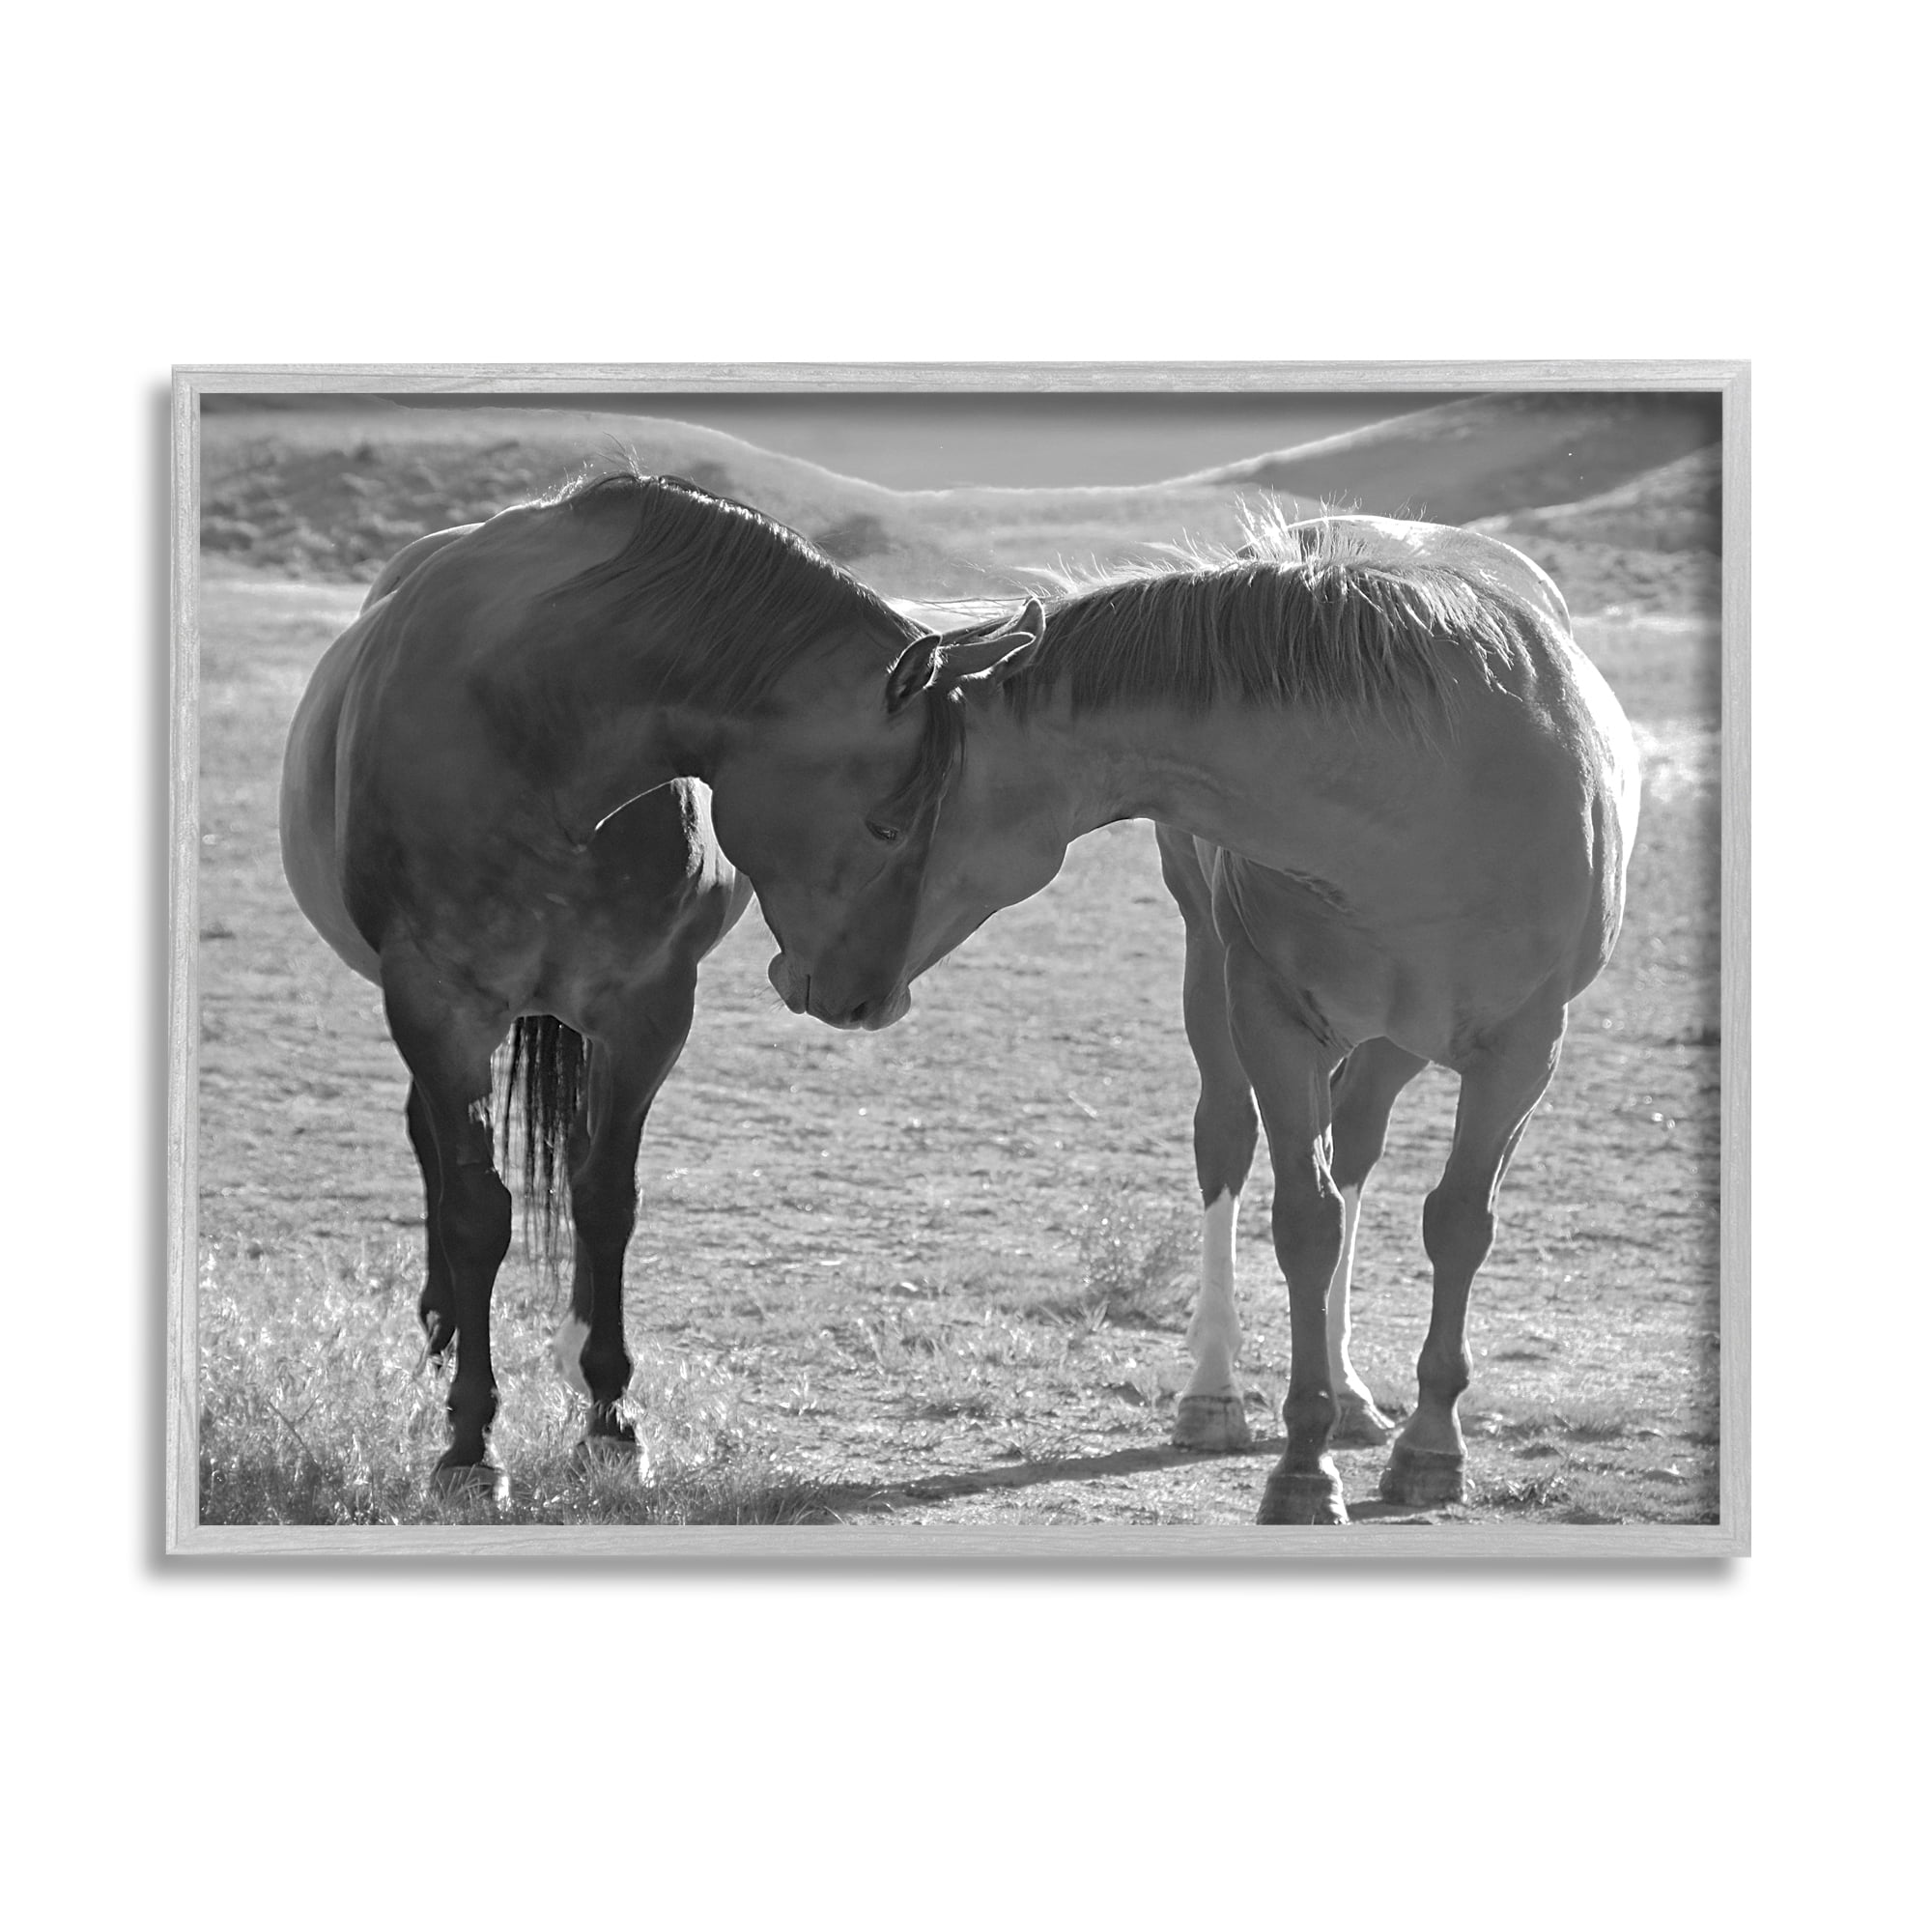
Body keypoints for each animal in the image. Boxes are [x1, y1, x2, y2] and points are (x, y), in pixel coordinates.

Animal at [279, 469, 1012, 1493]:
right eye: (888, 824)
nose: (871, 1001)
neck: (537, 728)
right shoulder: (436, 1004)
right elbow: (476, 1212)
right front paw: (470, 1441)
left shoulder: (647, 1011)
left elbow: (605, 1199)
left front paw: (609, 1416)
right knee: (432, 1143)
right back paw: (442, 1321)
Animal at [882, 509, 1640, 1525]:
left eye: (895, 813)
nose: (823, 975)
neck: (1417, 794)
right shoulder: (1273, 1020)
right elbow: (1303, 1223)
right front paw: (1303, 1465)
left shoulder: (1524, 1050)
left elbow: (1456, 1225)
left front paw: (1430, 1447)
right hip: (1214, 973)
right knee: (1227, 1142)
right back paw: (1214, 1393)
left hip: (1396, 1038)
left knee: (1356, 1146)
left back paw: (1356, 1393)